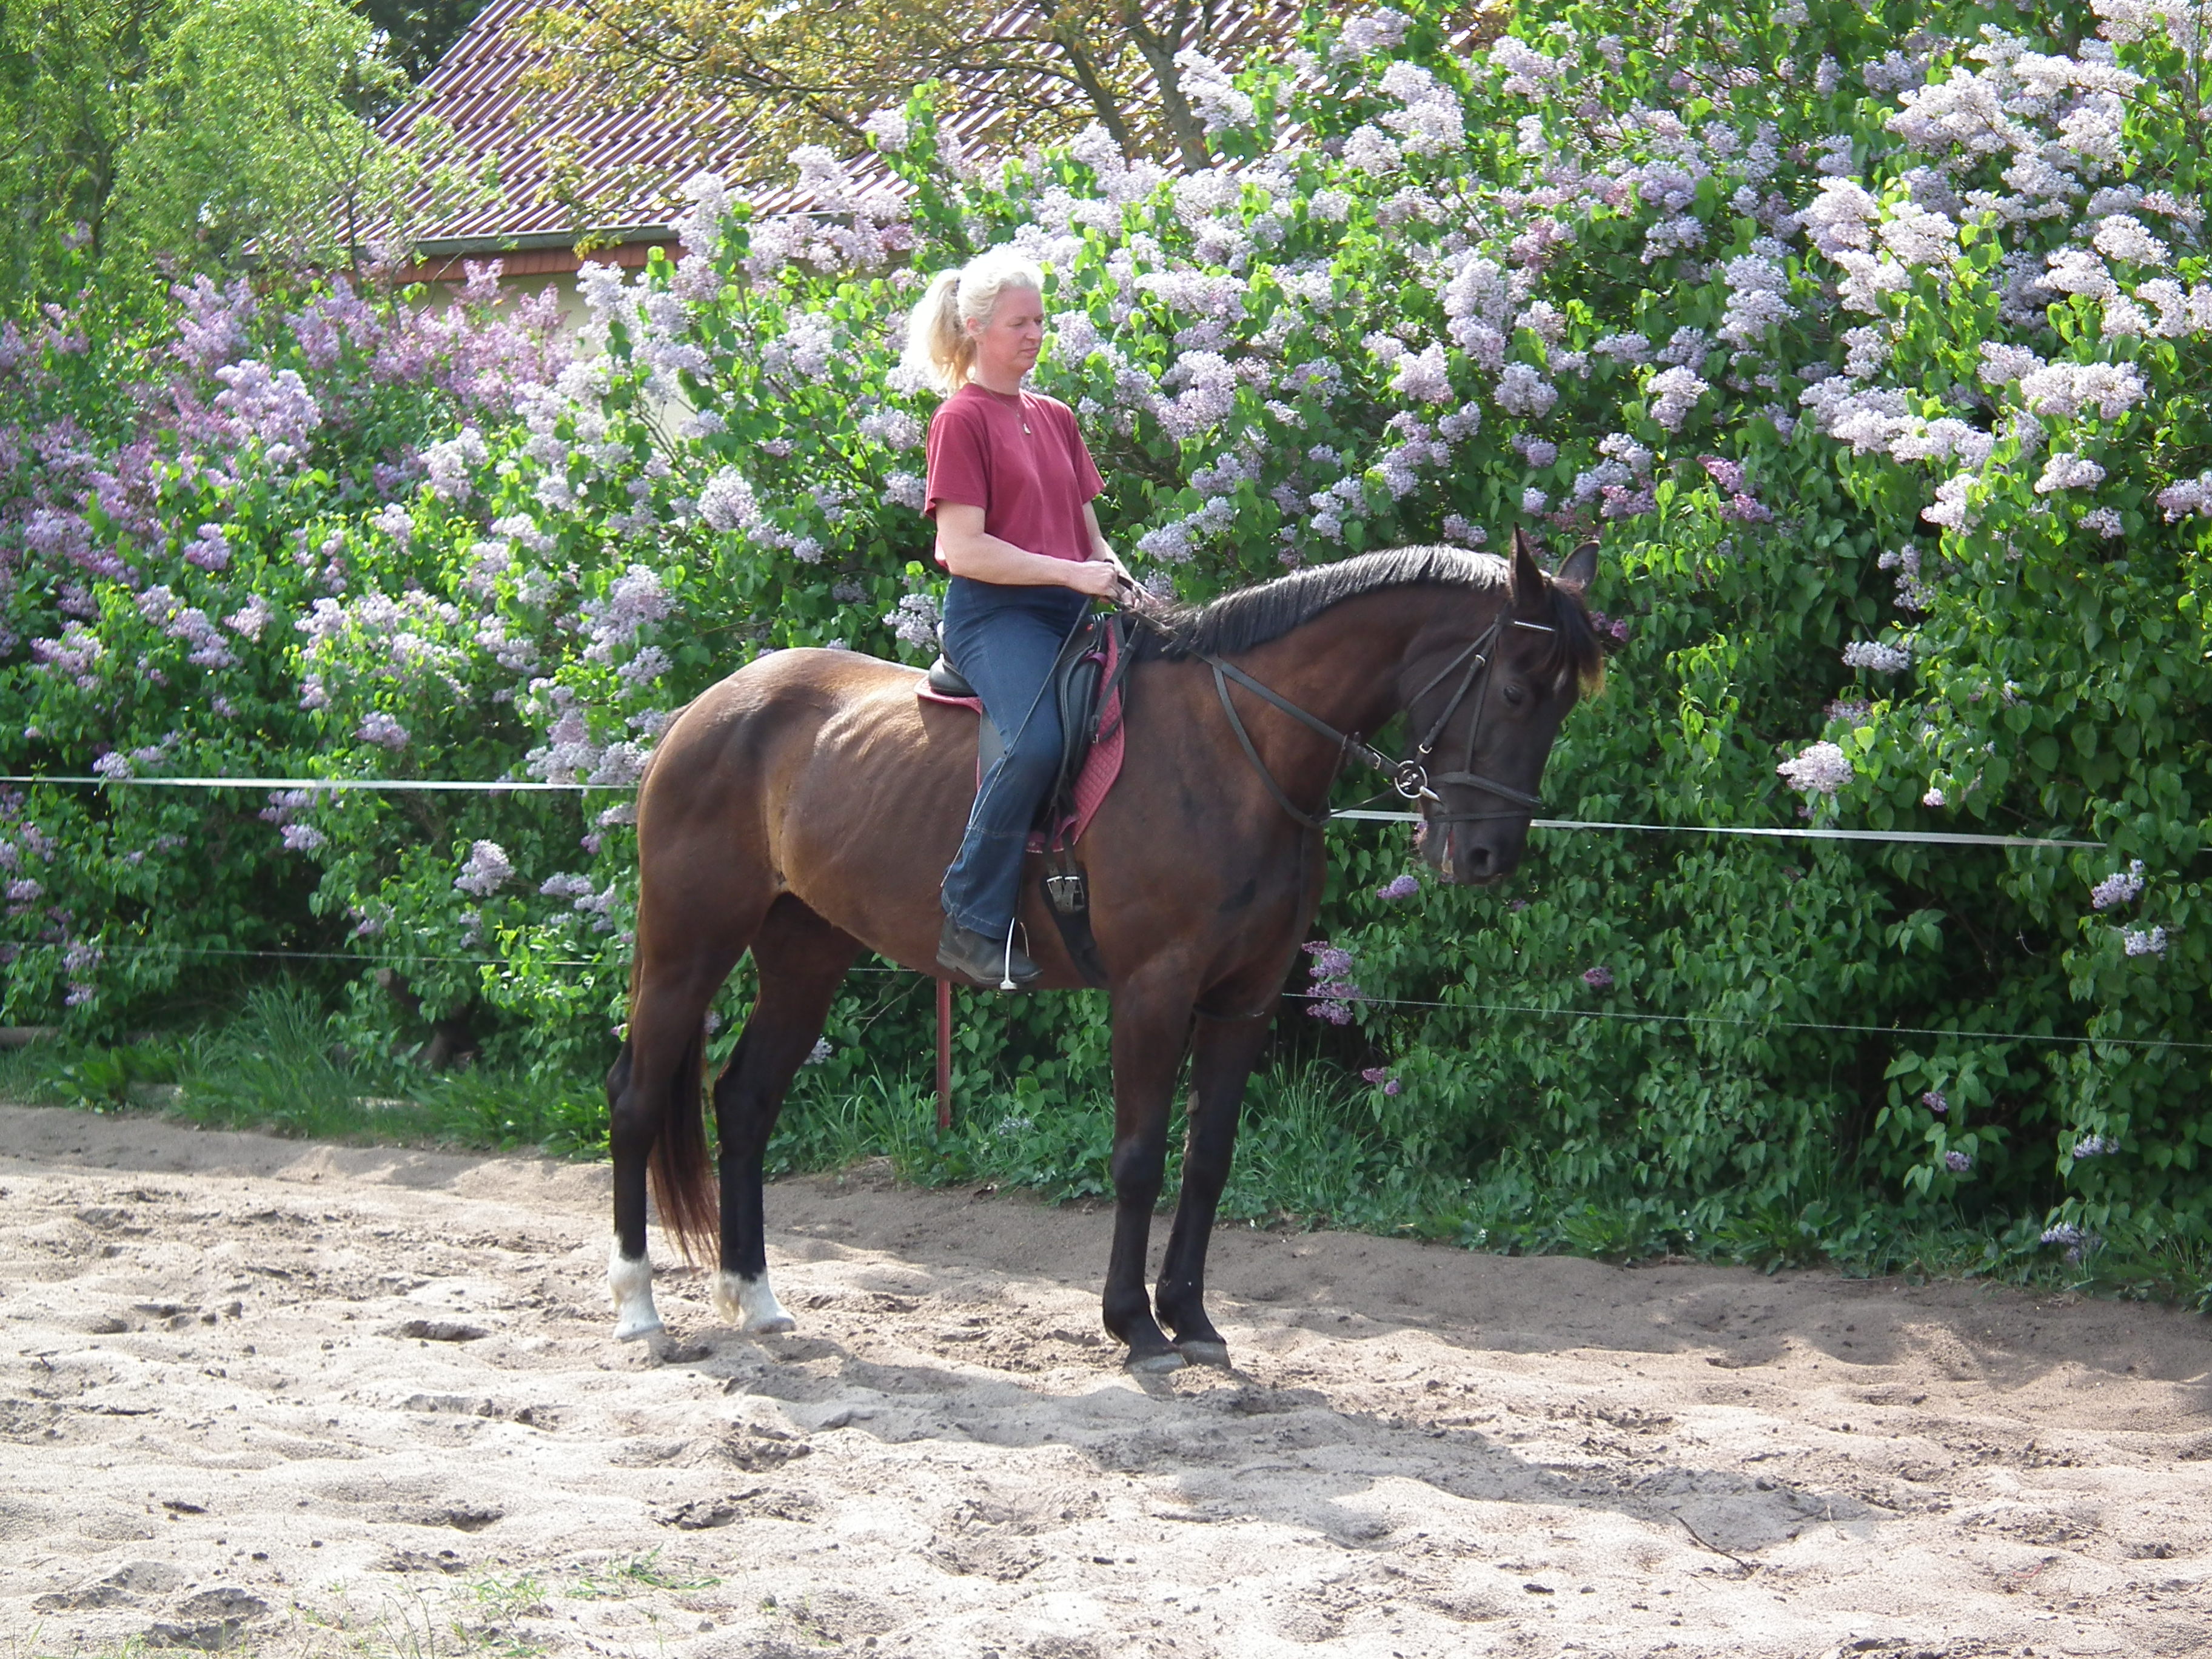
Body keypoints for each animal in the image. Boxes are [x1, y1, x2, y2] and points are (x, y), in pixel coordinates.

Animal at [615, 533, 1601, 1380]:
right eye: (1516, 692)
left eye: (1562, 702)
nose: (1487, 858)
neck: (1237, 746)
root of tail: (707, 709)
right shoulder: (1152, 992)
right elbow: (1137, 1159)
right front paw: (1135, 1327)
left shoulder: (1243, 998)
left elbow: (1208, 1160)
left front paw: (1191, 1319)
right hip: (687, 945)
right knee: (637, 1099)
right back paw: (639, 1312)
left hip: (804, 953)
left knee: (746, 1102)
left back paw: (756, 1300)